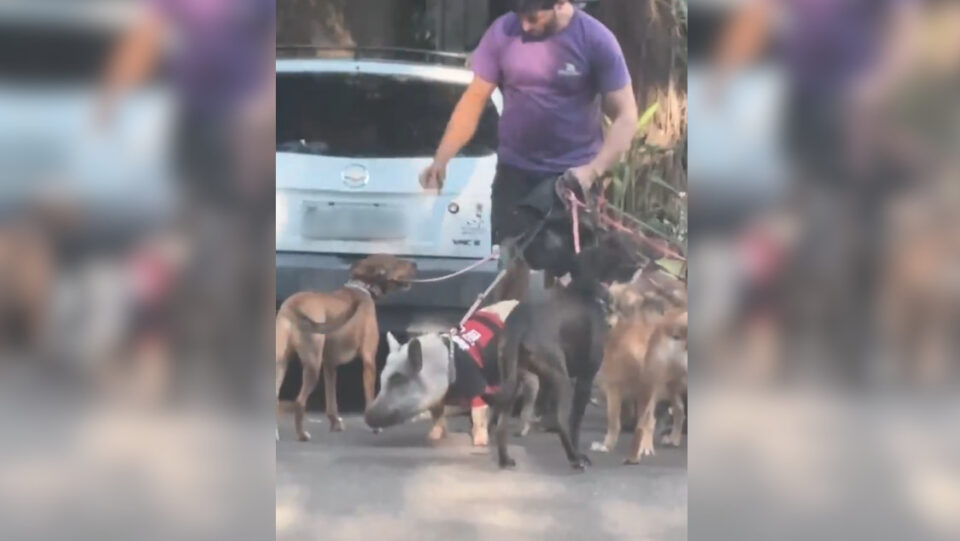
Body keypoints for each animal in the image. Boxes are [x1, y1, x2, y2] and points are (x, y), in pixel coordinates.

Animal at [274, 255, 416, 440]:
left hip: (281, 362)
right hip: (312, 364)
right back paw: (302, 434)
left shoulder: (329, 365)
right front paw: (374, 426)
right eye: (396, 261)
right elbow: (369, 395)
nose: (415, 263)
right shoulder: (369, 360)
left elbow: (331, 399)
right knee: (299, 401)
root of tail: (292, 306)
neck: (362, 287)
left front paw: (335, 423)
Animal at [492, 232, 640, 468]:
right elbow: (575, 422)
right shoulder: (585, 377)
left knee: (501, 423)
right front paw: (578, 453)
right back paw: (574, 458)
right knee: (562, 421)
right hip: (560, 378)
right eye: (627, 247)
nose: (641, 263)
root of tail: (519, 325)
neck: (585, 288)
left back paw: (505, 459)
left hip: (512, 378)